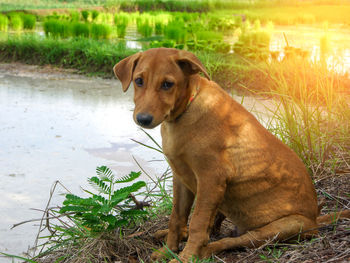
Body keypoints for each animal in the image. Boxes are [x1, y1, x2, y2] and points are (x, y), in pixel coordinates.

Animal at [113, 48, 348, 262]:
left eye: (167, 84)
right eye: (139, 81)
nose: (143, 119)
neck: (185, 111)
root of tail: (316, 219)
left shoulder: (211, 179)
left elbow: (198, 222)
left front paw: (185, 257)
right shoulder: (181, 178)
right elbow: (176, 218)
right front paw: (168, 250)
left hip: (282, 227)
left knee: (226, 240)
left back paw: (203, 250)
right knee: (213, 229)